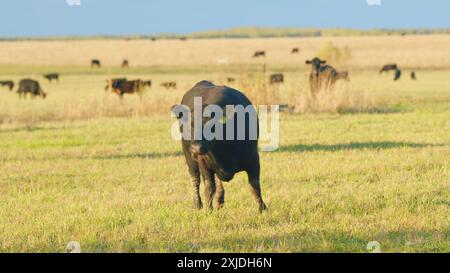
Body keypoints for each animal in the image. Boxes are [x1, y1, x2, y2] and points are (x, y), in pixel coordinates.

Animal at [171, 79, 266, 211]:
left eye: (212, 125)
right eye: (189, 125)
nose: (196, 147)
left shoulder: (253, 160)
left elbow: (255, 186)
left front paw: (262, 209)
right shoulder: (203, 163)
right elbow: (209, 188)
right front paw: (208, 211)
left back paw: (219, 200)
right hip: (189, 157)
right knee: (195, 179)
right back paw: (197, 204)